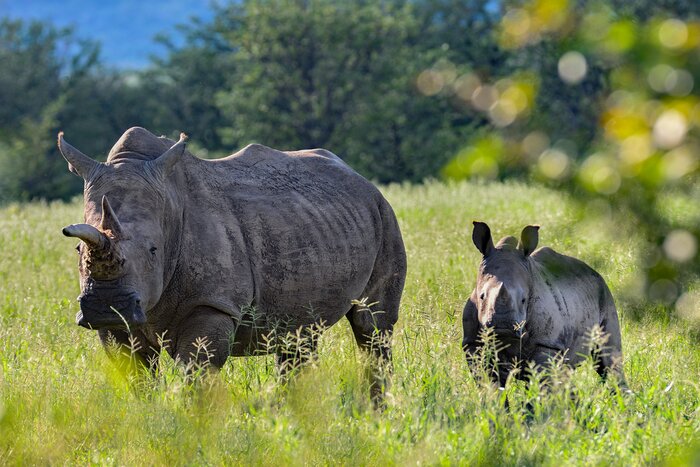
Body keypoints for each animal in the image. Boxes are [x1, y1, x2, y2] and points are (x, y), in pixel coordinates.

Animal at [58, 127, 406, 401]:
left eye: (154, 250)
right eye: (77, 249)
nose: (106, 306)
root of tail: (363, 180)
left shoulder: (212, 303)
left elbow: (196, 372)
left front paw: (194, 426)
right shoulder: (121, 324)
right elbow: (136, 377)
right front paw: (145, 421)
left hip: (385, 216)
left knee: (372, 327)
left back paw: (376, 415)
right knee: (299, 336)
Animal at [462, 221, 625, 386]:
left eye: (524, 300)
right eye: (482, 296)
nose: (503, 327)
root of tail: (594, 271)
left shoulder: (546, 343)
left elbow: (543, 381)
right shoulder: (472, 344)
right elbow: (488, 380)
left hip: (604, 294)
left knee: (608, 359)